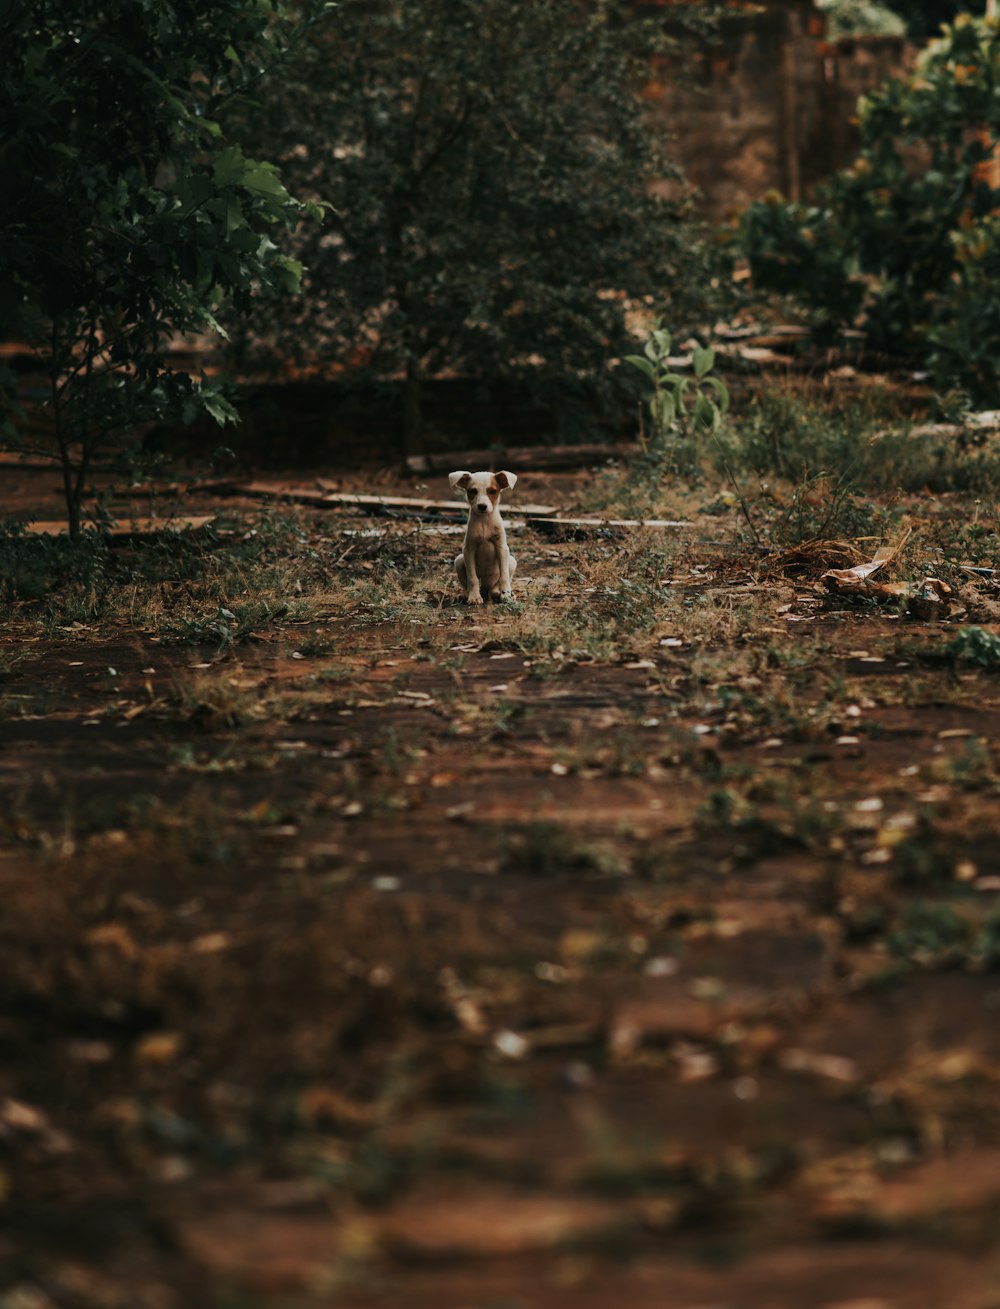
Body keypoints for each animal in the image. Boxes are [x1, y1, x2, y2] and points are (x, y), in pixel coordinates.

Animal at [450, 471, 518, 602]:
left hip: (512, 561)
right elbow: (473, 578)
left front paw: (506, 594)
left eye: (492, 491)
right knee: (467, 583)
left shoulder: (502, 548)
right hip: (459, 561)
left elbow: (504, 577)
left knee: (497, 583)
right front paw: (474, 596)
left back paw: (497, 592)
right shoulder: (469, 550)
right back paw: (466, 594)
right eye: (472, 491)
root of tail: (486, 587)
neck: (484, 521)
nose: (482, 506)